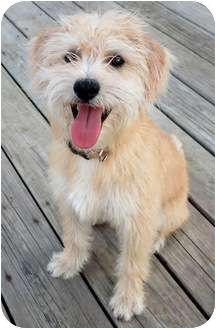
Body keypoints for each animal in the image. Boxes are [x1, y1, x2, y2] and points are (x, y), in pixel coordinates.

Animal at [29, 10, 189, 320]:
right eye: (70, 56)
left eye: (117, 60)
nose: (85, 86)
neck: (97, 157)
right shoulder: (69, 200)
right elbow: (75, 237)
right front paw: (69, 263)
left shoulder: (138, 220)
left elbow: (132, 264)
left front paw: (127, 299)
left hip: (171, 213)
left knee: (166, 228)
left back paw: (157, 239)